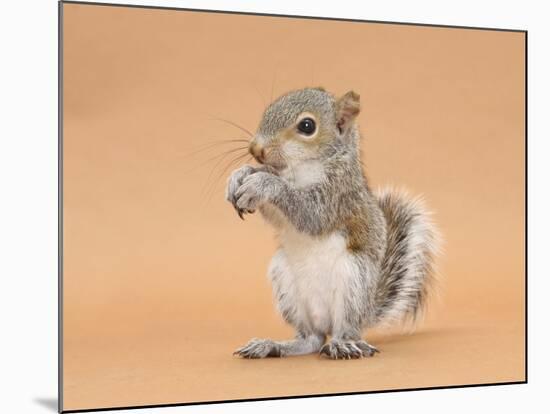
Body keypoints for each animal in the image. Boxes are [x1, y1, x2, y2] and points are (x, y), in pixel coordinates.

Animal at [224, 87, 440, 360]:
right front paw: (241, 174)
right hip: (285, 283)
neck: (301, 169)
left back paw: (343, 345)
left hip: (353, 282)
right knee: (311, 340)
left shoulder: (337, 195)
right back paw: (272, 345)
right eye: (268, 109)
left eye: (307, 126)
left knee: (344, 330)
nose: (256, 149)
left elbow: (310, 213)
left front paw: (264, 184)